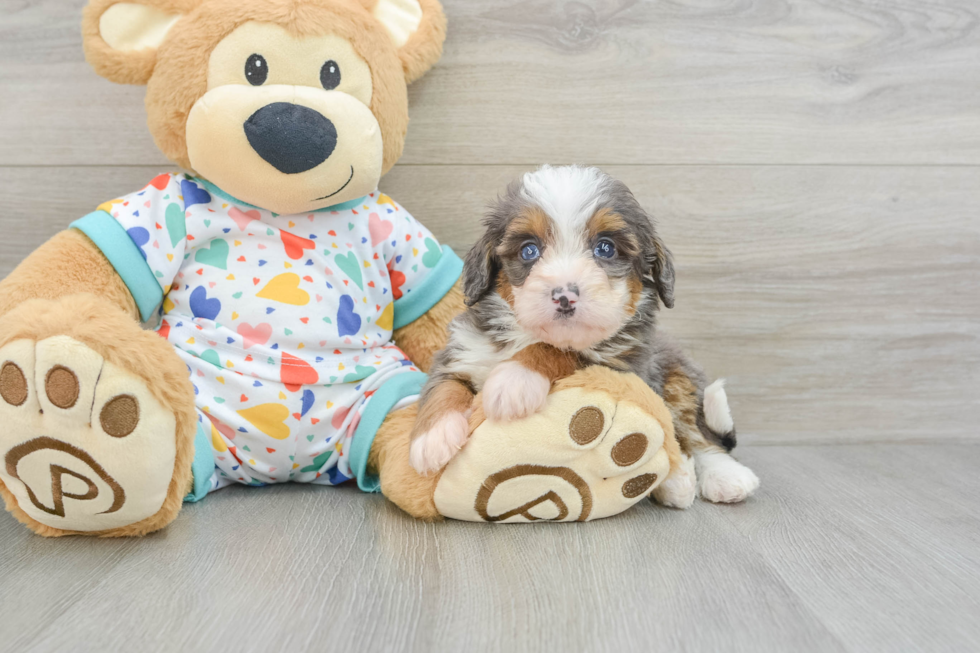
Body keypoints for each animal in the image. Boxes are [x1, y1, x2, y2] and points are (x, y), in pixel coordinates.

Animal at [410, 164, 760, 504]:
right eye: (529, 250)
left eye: (605, 248)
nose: (565, 296)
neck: (525, 335)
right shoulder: (463, 350)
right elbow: (443, 387)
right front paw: (433, 437)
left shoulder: (621, 366)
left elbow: (560, 351)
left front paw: (514, 380)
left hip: (679, 379)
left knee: (695, 434)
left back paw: (713, 478)